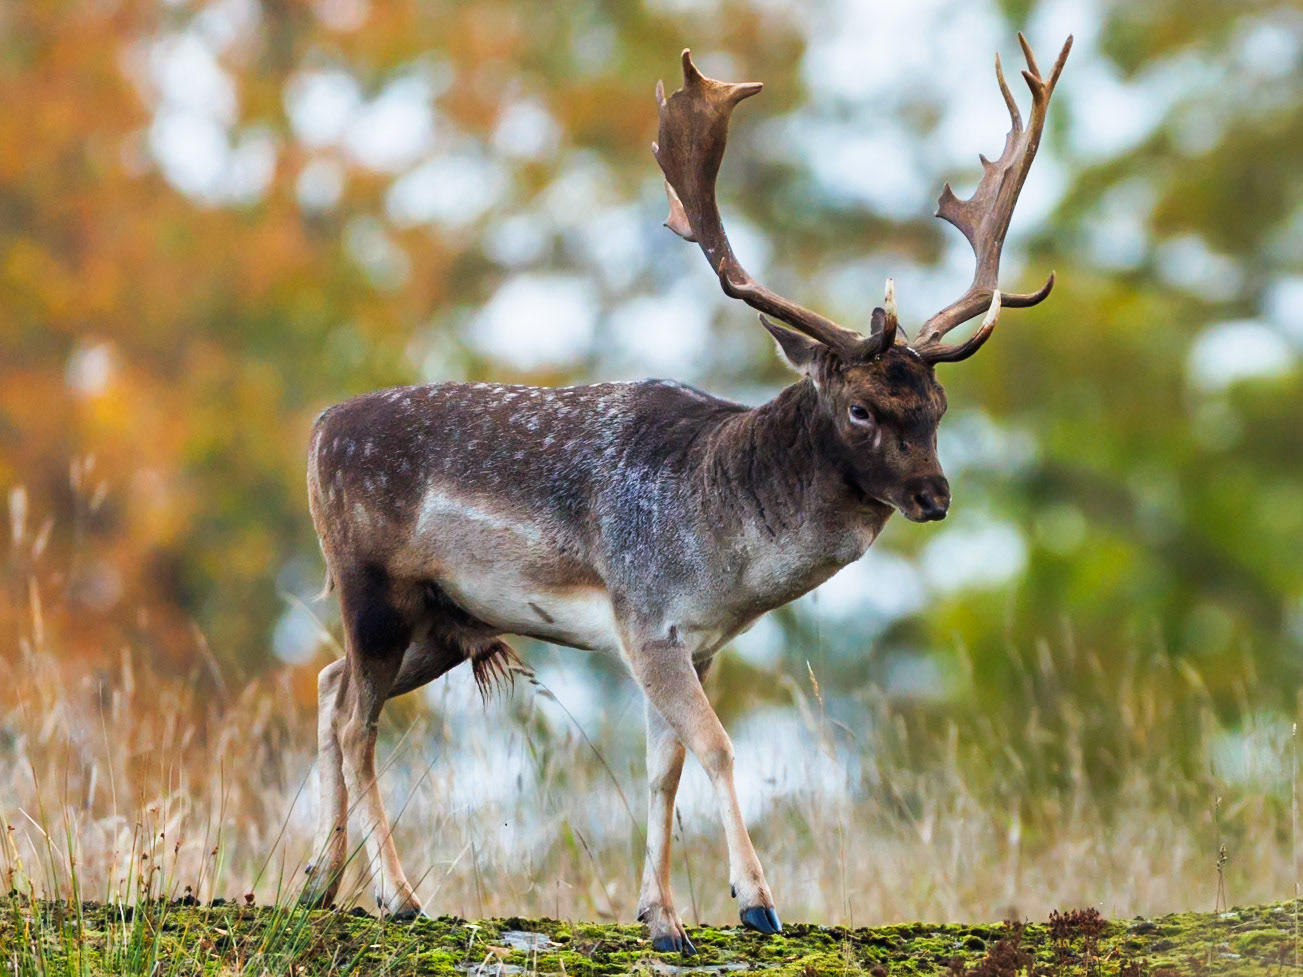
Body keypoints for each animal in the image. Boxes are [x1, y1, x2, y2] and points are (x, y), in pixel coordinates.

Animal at [299, 33, 1071, 952]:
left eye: (938, 404)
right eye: (860, 407)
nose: (933, 494)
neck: (726, 556)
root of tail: (317, 429)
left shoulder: (693, 642)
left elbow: (661, 767)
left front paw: (660, 916)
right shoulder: (646, 617)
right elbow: (717, 747)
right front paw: (756, 901)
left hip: (442, 619)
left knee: (331, 684)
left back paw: (319, 882)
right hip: (370, 583)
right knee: (357, 720)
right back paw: (397, 893)